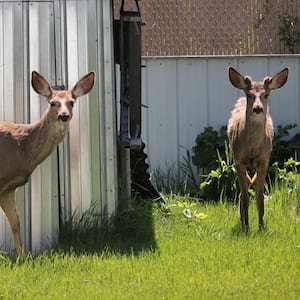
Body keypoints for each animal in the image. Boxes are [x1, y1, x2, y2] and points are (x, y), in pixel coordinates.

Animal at [0, 70, 95, 253]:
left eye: (71, 102)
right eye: (53, 103)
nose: (64, 116)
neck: (21, 147)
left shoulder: (8, 188)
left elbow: (16, 223)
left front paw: (22, 256)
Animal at [227, 66, 288, 230]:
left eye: (266, 95)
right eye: (249, 95)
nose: (258, 108)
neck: (253, 148)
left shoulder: (264, 161)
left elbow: (260, 198)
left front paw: (261, 227)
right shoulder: (238, 161)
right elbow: (245, 198)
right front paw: (246, 228)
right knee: (242, 193)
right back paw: (242, 222)